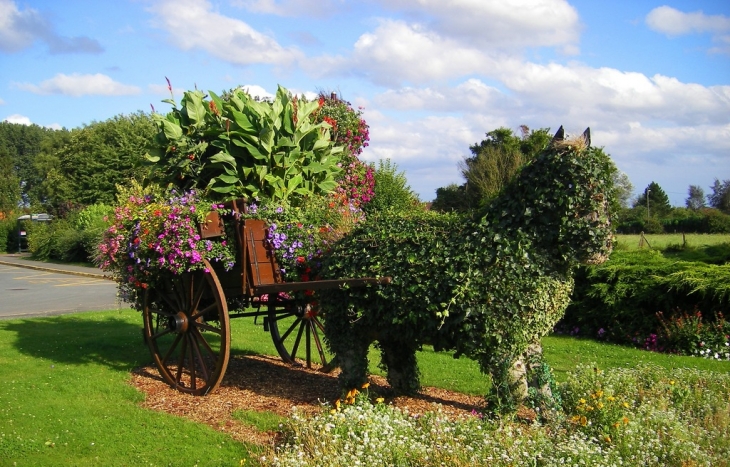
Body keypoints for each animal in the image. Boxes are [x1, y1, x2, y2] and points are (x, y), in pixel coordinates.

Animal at [318, 128, 616, 414]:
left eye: (604, 181)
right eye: (568, 181)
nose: (601, 244)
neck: (519, 240)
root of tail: (341, 243)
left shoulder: (528, 335)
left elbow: (541, 381)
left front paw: (552, 416)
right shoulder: (501, 338)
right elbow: (514, 382)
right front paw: (502, 411)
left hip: (393, 323)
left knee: (397, 354)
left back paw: (404, 390)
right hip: (349, 325)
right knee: (352, 360)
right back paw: (355, 396)